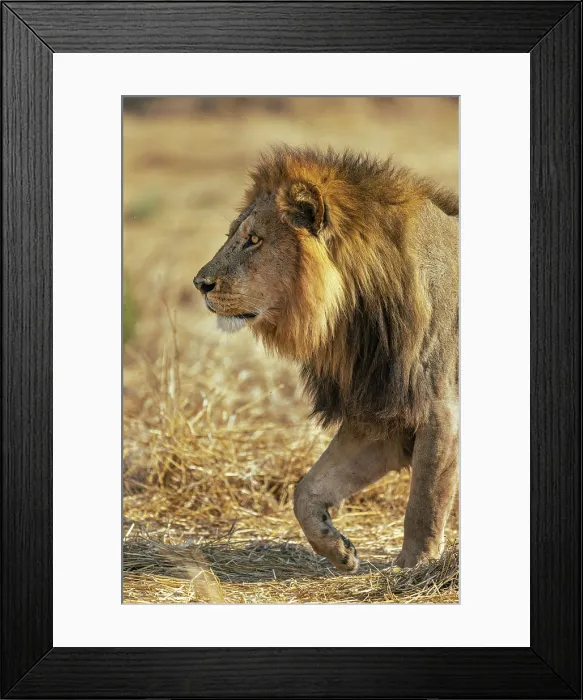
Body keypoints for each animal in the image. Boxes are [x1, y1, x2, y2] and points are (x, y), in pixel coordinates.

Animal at [194, 146, 458, 572]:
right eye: (233, 235)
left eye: (254, 239)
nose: (199, 284)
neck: (356, 316)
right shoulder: (381, 418)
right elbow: (306, 490)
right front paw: (339, 550)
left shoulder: (440, 410)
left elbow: (425, 501)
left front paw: (412, 569)